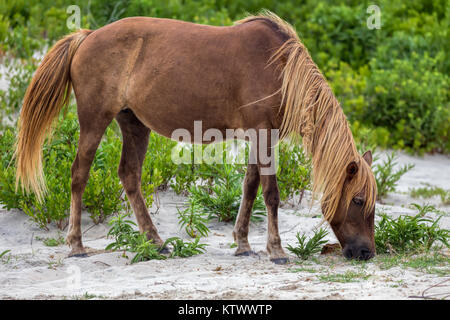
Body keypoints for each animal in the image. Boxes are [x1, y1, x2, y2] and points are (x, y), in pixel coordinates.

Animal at [14, 11, 376, 264]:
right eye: (358, 200)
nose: (367, 253)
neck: (281, 69)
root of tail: (87, 37)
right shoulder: (263, 135)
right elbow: (271, 194)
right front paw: (276, 250)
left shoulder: (258, 138)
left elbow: (250, 188)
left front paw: (243, 244)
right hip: (94, 122)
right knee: (79, 174)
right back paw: (76, 245)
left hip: (134, 124)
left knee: (129, 175)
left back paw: (156, 242)